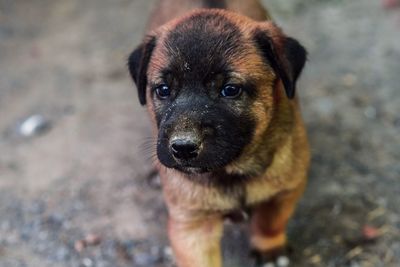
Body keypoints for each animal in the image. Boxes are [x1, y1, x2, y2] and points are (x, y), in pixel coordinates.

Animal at [128, 1, 310, 266]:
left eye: (230, 90)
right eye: (163, 90)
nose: (183, 148)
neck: (231, 172)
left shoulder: (286, 191)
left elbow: (270, 221)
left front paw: (269, 250)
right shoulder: (192, 225)